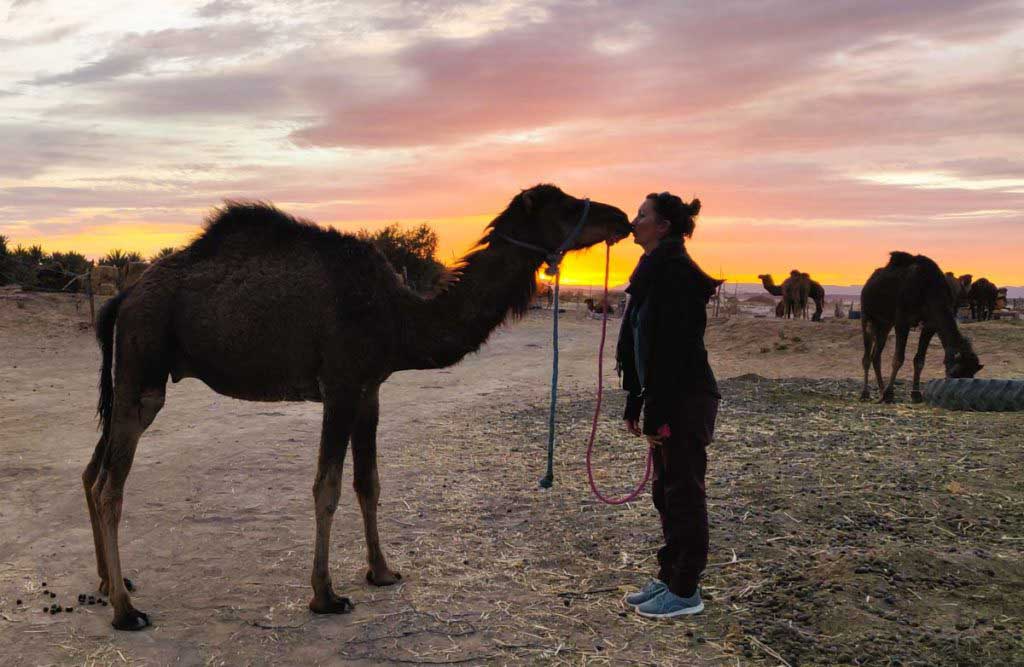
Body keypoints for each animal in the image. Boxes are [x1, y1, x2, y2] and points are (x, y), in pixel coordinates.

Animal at [83, 184, 634, 631]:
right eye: (566, 206)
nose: (622, 216)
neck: (400, 316)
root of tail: (123, 298)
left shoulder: (371, 390)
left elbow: (368, 483)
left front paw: (382, 571)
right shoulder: (342, 385)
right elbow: (325, 488)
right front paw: (326, 596)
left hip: (130, 379)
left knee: (92, 473)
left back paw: (111, 584)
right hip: (143, 374)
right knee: (111, 485)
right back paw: (126, 612)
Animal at [864, 253, 983, 403]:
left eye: (971, 374)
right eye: (954, 372)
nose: (957, 393)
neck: (929, 289)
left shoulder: (930, 325)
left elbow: (919, 360)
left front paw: (916, 394)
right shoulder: (902, 321)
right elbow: (898, 359)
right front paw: (889, 394)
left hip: (885, 324)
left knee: (876, 356)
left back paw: (880, 391)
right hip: (867, 315)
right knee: (867, 356)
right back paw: (865, 393)